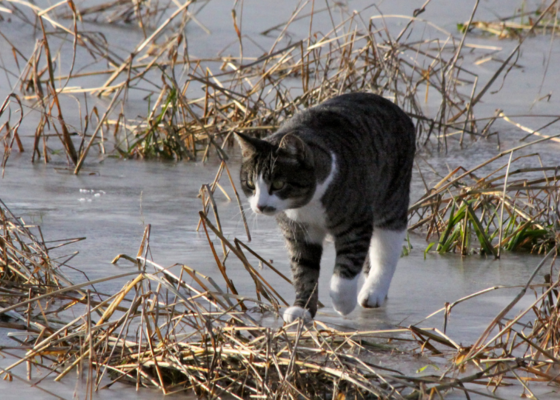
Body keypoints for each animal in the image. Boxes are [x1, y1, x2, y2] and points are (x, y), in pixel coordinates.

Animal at [234, 93, 414, 322]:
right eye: (250, 184)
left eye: (278, 184)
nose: (260, 206)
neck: (306, 205)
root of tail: (392, 106)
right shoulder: (298, 231)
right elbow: (304, 270)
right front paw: (302, 309)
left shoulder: (355, 225)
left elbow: (347, 266)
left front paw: (343, 303)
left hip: (392, 197)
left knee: (386, 250)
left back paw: (373, 292)